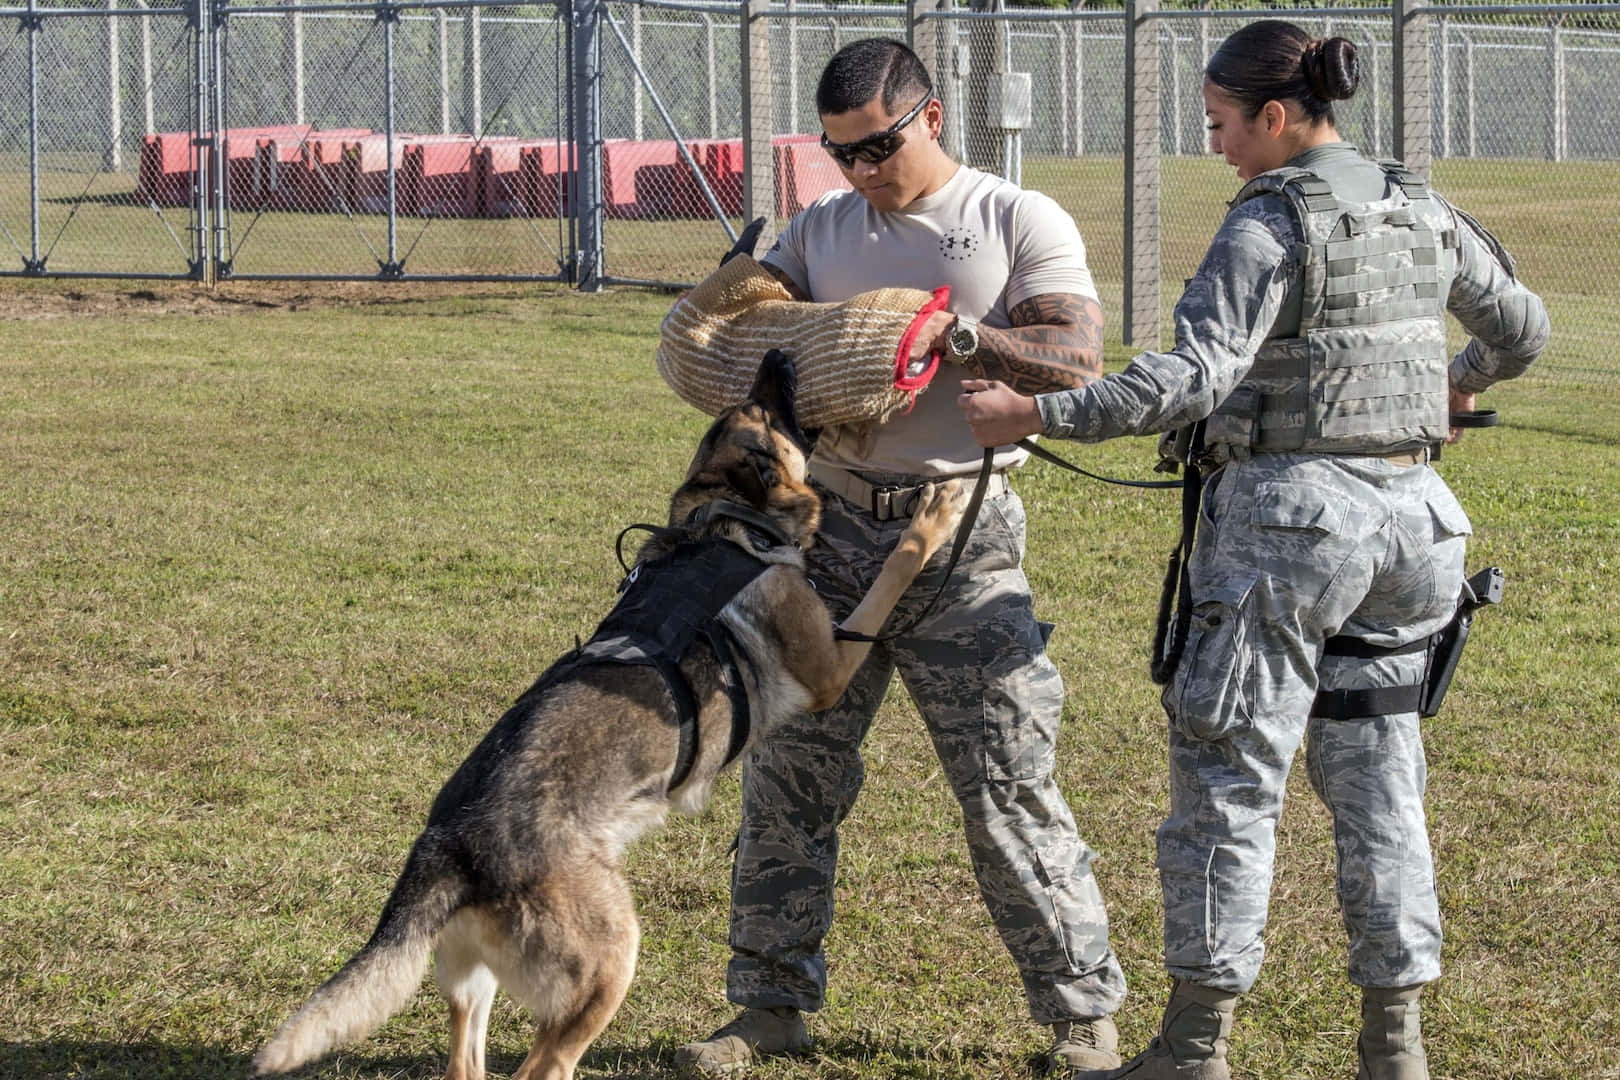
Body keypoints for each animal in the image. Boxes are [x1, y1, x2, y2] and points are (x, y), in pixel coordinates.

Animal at [251, 351, 959, 1075]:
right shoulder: (830, 666)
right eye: (764, 409)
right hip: (611, 962)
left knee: (468, 1062)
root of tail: (452, 848)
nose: (776, 356)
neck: (722, 523)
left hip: (477, 985)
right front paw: (934, 516)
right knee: (543, 1065)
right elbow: (890, 578)